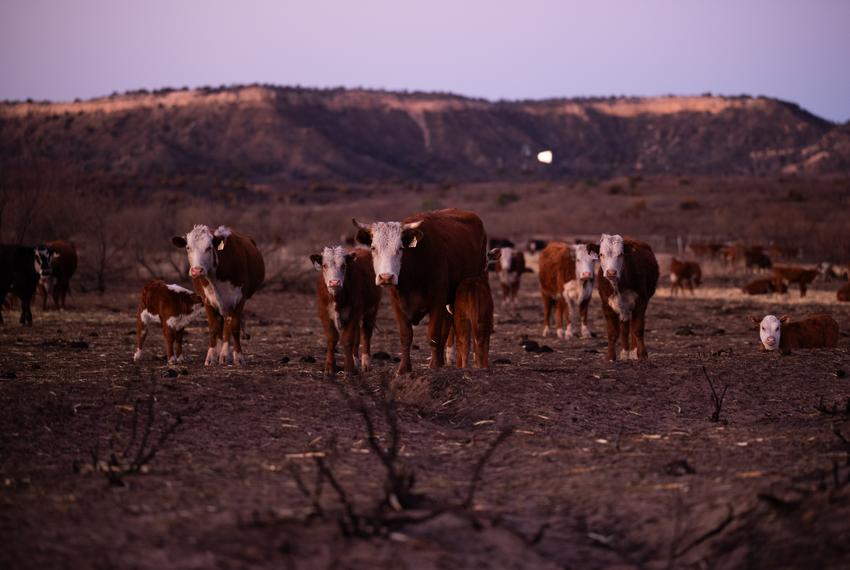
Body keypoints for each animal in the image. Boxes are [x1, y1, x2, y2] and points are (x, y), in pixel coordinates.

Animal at [172, 225, 265, 366]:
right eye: (188, 247)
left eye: (209, 247)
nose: (197, 271)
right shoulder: (207, 300)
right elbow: (213, 327)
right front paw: (211, 356)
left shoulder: (239, 299)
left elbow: (234, 326)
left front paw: (237, 356)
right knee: (221, 325)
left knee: (227, 324)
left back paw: (225, 353)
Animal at [311, 246, 381, 377]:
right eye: (324, 265)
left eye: (343, 265)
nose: (334, 282)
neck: (337, 298)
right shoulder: (324, 312)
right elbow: (332, 338)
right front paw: (329, 367)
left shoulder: (354, 311)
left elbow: (347, 339)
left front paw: (349, 368)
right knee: (357, 334)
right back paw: (355, 359)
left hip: (372, 309)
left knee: (366, 333)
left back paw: (365, 363)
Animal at [353, 208, 488, 374]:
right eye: (373, 248)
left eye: (400, 248)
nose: (386, 277)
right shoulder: (397, 304)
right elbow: (406, 336)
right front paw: (404, 368)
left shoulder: (437, 301)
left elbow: (433, 335)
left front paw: (434, 365)